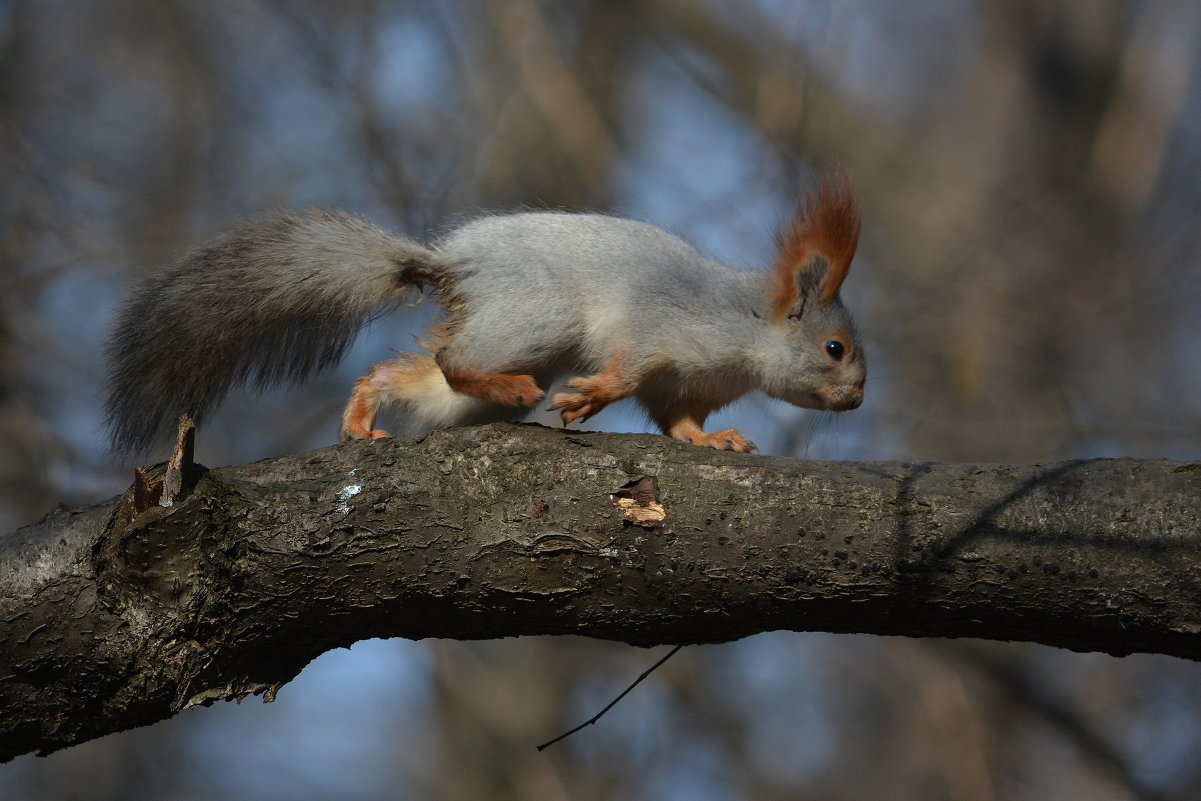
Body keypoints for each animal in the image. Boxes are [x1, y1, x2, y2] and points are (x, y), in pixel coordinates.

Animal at [105, 174, 864, 456]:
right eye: (834, 348)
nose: (858, 399)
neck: (748, 330)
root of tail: (452, 266)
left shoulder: (684, 388)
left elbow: (678, 423)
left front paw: (716, 441)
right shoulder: (661, 326)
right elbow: (627, 371)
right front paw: (589, 399)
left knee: (416, 376)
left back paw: (363, 416)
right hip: (540, 316)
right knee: (454, 359)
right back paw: (514, 386)